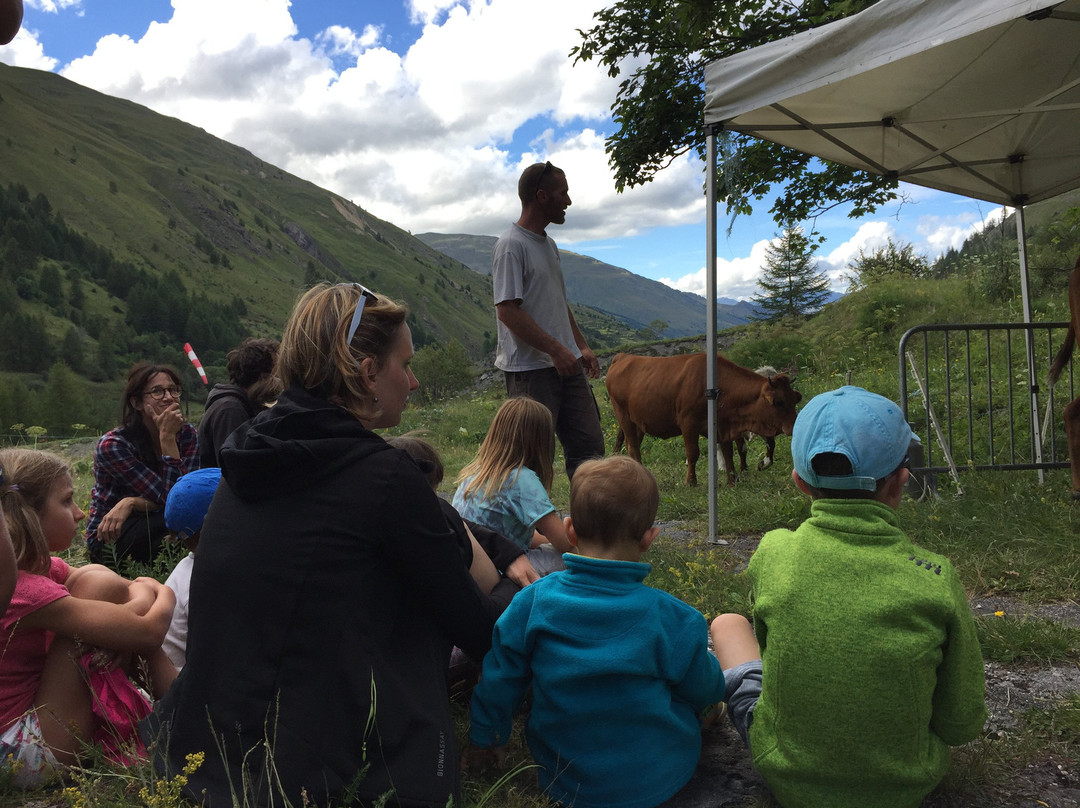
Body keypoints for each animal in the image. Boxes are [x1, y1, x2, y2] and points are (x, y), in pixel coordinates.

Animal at [609, 354, 803, 486]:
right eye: (779, 402)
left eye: (794, 399)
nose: (796, 425)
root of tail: (623, 356)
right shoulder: (688, 423)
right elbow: (693, 453)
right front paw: (691, 481)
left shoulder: (723, 426)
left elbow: (728, 452)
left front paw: (733, 479)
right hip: (624, 417)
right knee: (633, 447)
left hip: (638, 423)